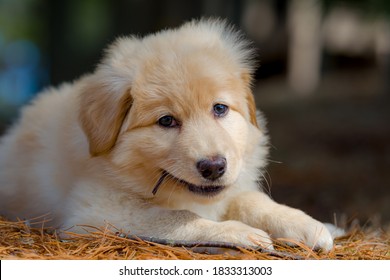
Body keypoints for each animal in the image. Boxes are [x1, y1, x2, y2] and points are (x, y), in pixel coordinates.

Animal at [0, 20, 332, 252]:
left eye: (220, 109)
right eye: (167, 121)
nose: (214, 167)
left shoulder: (234, 186)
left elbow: (254, 199)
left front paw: (307, 225)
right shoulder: (96, 211)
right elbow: (177, 216)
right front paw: (239, 233)